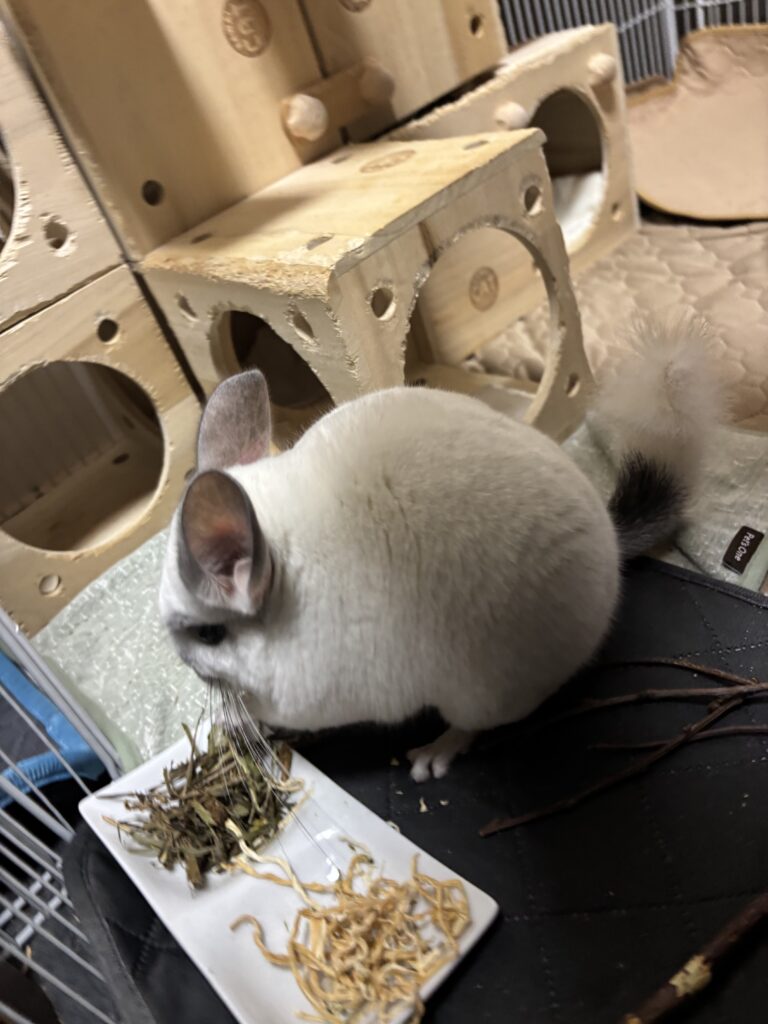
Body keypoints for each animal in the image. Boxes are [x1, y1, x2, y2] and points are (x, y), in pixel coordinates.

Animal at [159, 317, 723, 781]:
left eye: (209, 635)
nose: (183, 664)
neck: (286, 581)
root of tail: (608, 537)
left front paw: (249, 722)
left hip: (481, 694)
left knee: (472, 726)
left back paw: (431, 756)